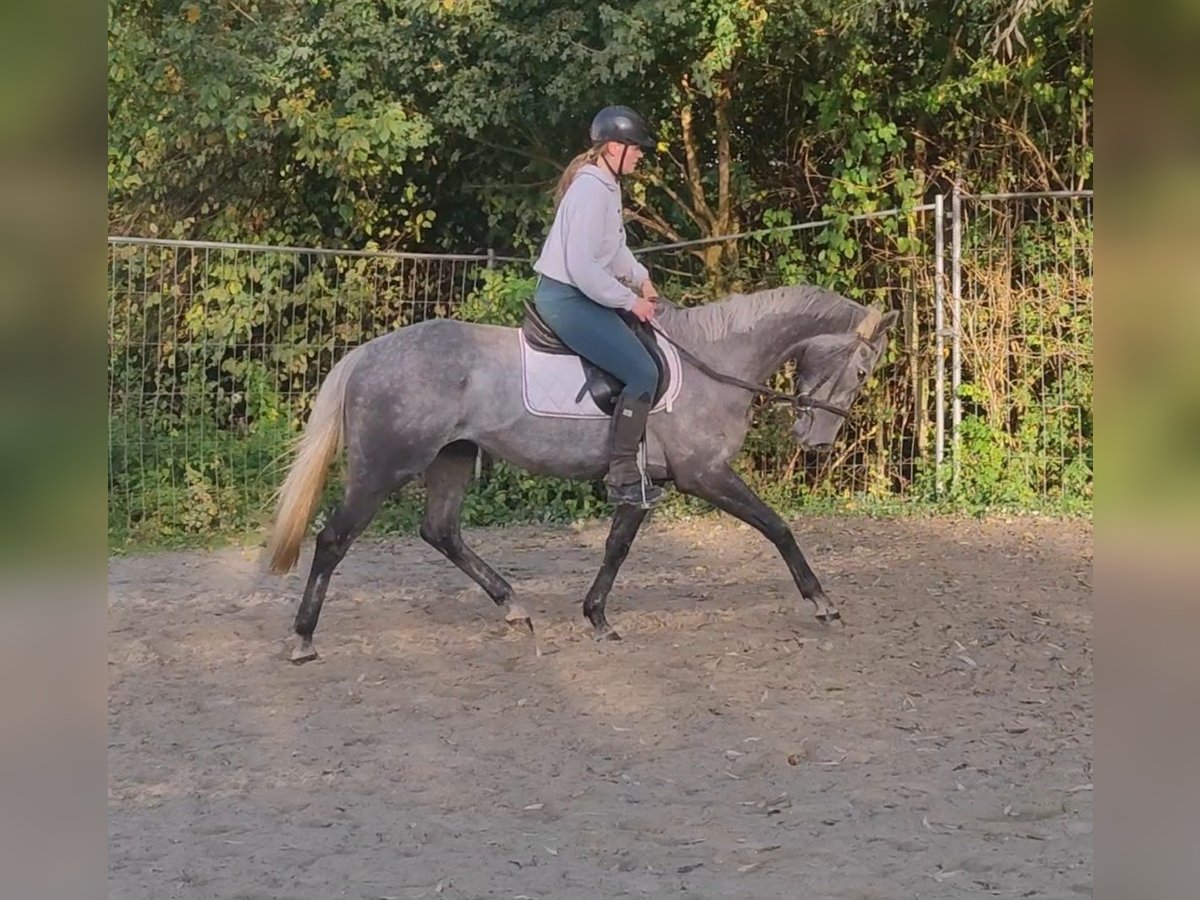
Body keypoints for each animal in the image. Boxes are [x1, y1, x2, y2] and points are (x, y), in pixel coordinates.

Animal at [267, 283, 897, 662]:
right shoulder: (705, 474)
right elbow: (777, 527)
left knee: (441, 531)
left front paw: (597, 617)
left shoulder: (646, 483)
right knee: (333, 539)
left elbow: (616, 546)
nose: (815, 441)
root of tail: (366, 354)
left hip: (453, 458)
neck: (713, 365)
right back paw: (301, 638)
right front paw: (822, 602)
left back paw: (515, 608)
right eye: (864, 370)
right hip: (384, 467)